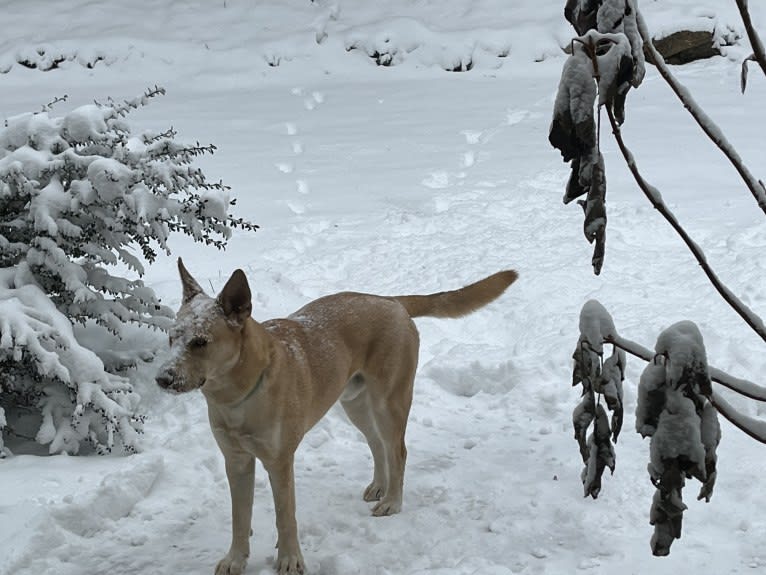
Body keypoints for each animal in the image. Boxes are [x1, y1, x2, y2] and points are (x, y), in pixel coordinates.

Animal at [154, 262, 516, 575]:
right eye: (172, 337)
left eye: (200, 342)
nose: (162, 378)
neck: (237, 396)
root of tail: (391, 301)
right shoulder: (236, 460)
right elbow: (239, 518)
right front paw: (235, 559)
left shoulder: (280, 462)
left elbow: (286, 516)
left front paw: (290, 560)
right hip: (355, 403)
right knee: (377, 444)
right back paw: (380, 486)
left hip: (389, 401)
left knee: (397, 450)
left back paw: (392, 501)